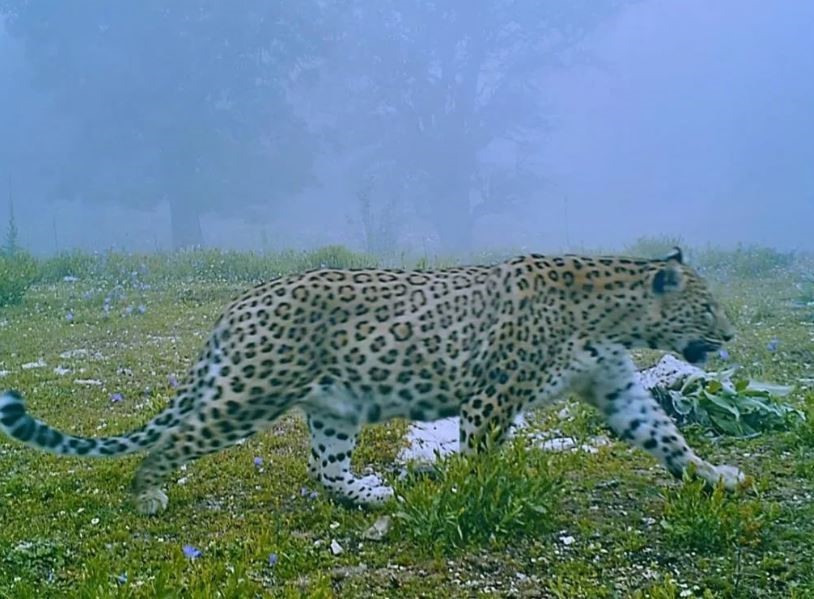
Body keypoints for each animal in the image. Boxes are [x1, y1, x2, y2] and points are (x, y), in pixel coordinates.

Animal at [0, 246, 744, 516]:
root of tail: (238, 303)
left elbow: (667, 436)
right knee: (173, 438)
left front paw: (715, 476)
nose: (732, 335)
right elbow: (483, 456)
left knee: (322, 466)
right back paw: (149, 493)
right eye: (708, 306)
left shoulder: (616, 389)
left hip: (334, 405)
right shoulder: (491, 396)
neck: (615, 315)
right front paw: (480, 497)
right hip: (249, 391)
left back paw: (369, 492)